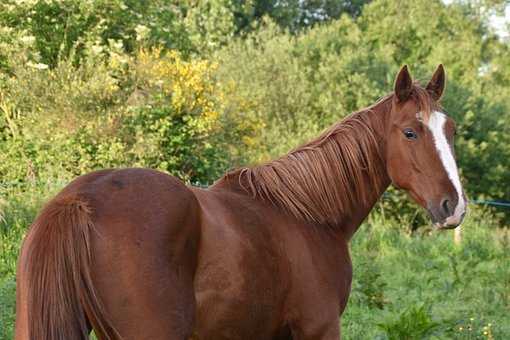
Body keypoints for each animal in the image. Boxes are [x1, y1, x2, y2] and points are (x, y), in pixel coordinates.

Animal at [14, 64, 466, 340]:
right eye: (410, 132)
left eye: (452, 130)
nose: (454, 207)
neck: (311, 216)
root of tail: (78, 200)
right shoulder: (319, 328)